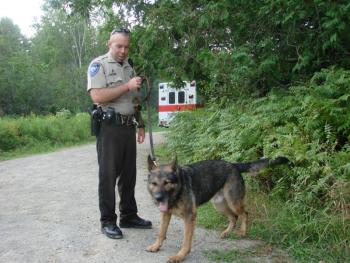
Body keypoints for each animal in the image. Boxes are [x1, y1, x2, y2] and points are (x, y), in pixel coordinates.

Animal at [146, 156, 288, 262]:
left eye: (167, 182)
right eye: (154, 184)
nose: (158, 198)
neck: (177, 191)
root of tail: (233, 165)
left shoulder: (189, 217)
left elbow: (186, 240)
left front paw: (180, 256)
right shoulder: (165, 214)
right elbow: (161, 233)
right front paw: (156, 246)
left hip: (233, 203)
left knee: (244, 214)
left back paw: (242, 232)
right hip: (219, 205)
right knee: (233, 217)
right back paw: (227, 232)